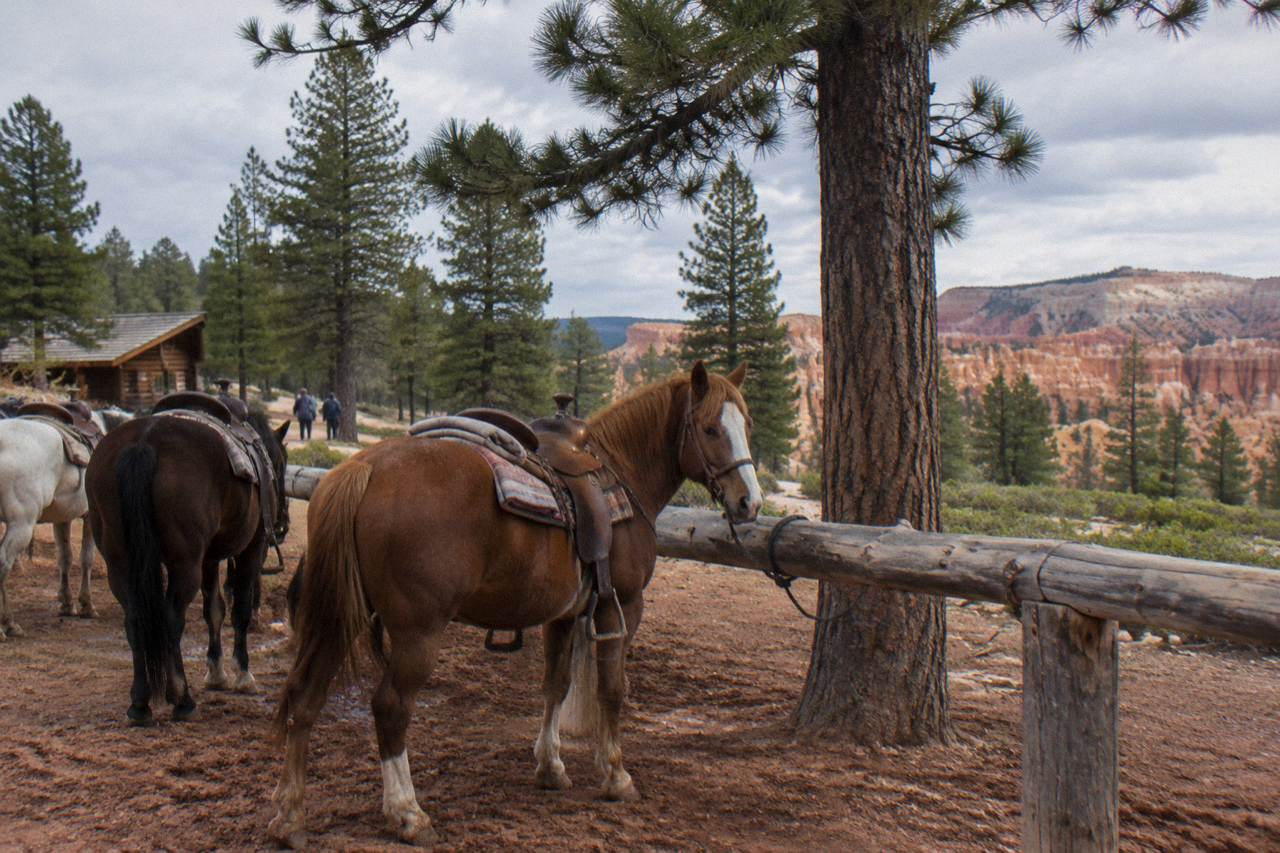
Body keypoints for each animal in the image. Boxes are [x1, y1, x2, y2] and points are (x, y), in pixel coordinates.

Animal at [0, 404, 121, 638]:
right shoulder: (90, 517)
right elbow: (86, 558)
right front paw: (87, 605)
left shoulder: (62, 517)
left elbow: (65, 557)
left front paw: (67, 603)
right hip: (22, 525)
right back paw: (8, 623)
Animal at [85, 406, 290, 724]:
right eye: (281, 462)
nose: (283, 523)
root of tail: (145, 442)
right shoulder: (250, 550)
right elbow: (240, 611)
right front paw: (243, 674)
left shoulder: (208, 559)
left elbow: (214, 611)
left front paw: (216, 672)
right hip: (185, 564)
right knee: (171, 619)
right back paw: (182, 698)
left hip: (120, 563)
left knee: (134, 619)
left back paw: (140, 703)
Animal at [268, 361, 761, 847]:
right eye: (710, 428)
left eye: (747, 425)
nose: (749, 502)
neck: (622, 474)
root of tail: (365, 468)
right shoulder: (622, 605)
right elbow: (611, 689)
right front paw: (615, 774)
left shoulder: (563, 616)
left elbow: (555, 685)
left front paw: (550, 767)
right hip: (417, 632)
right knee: (390, 708)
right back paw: (407, 814)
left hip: (338, 616)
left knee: (304, 696)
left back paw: (290, 815)